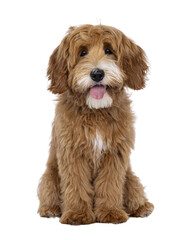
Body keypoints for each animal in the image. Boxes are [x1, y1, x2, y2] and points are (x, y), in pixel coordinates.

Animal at [37, 24, 154, 225]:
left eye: (109, 50)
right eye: (82, 52)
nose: (97, 73)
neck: (96, 111)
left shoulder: (114, 153)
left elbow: (110, 184)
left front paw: (110, 212)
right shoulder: (73, 152)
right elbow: (75, 184)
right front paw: (77, 214)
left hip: (131, 179)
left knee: (134, 192)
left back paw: (142, 208)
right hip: (50, 178)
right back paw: (50, 209)